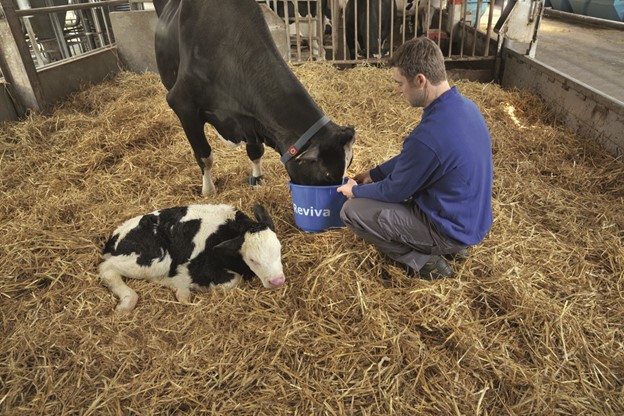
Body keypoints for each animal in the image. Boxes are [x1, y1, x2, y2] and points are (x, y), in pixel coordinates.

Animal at [98, 203, 284, 314]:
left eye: (279, 249)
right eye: (252, 260)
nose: (277, 281)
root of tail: (115, 236)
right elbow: (233, 281)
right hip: (155, 260)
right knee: (106, 268)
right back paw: (127, 303)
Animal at [153, 0, 354, 196]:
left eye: (349, 163)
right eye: (327, 175)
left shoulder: (251, 116)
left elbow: (256, 150)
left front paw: (257, 179)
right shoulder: (183, 105)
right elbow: (205, 155)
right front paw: (208, 191)